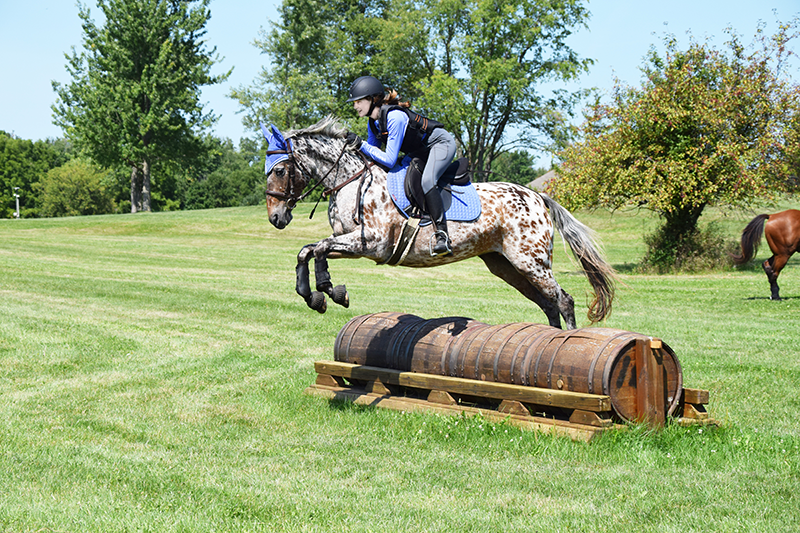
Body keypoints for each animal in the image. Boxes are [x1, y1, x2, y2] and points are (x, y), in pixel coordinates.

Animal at [266, 117, 616, 328]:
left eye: (280, 170)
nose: (276, 218)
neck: (350, 180)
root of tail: (538, 197)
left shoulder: (372, 244)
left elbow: (319, 249)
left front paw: (330, 290)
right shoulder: (349, 242)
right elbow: (308, 250)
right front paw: (314, 295)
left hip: (531, 262)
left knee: (563, 300)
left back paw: (565, 342)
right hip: (507, 266)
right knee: (548, 303)